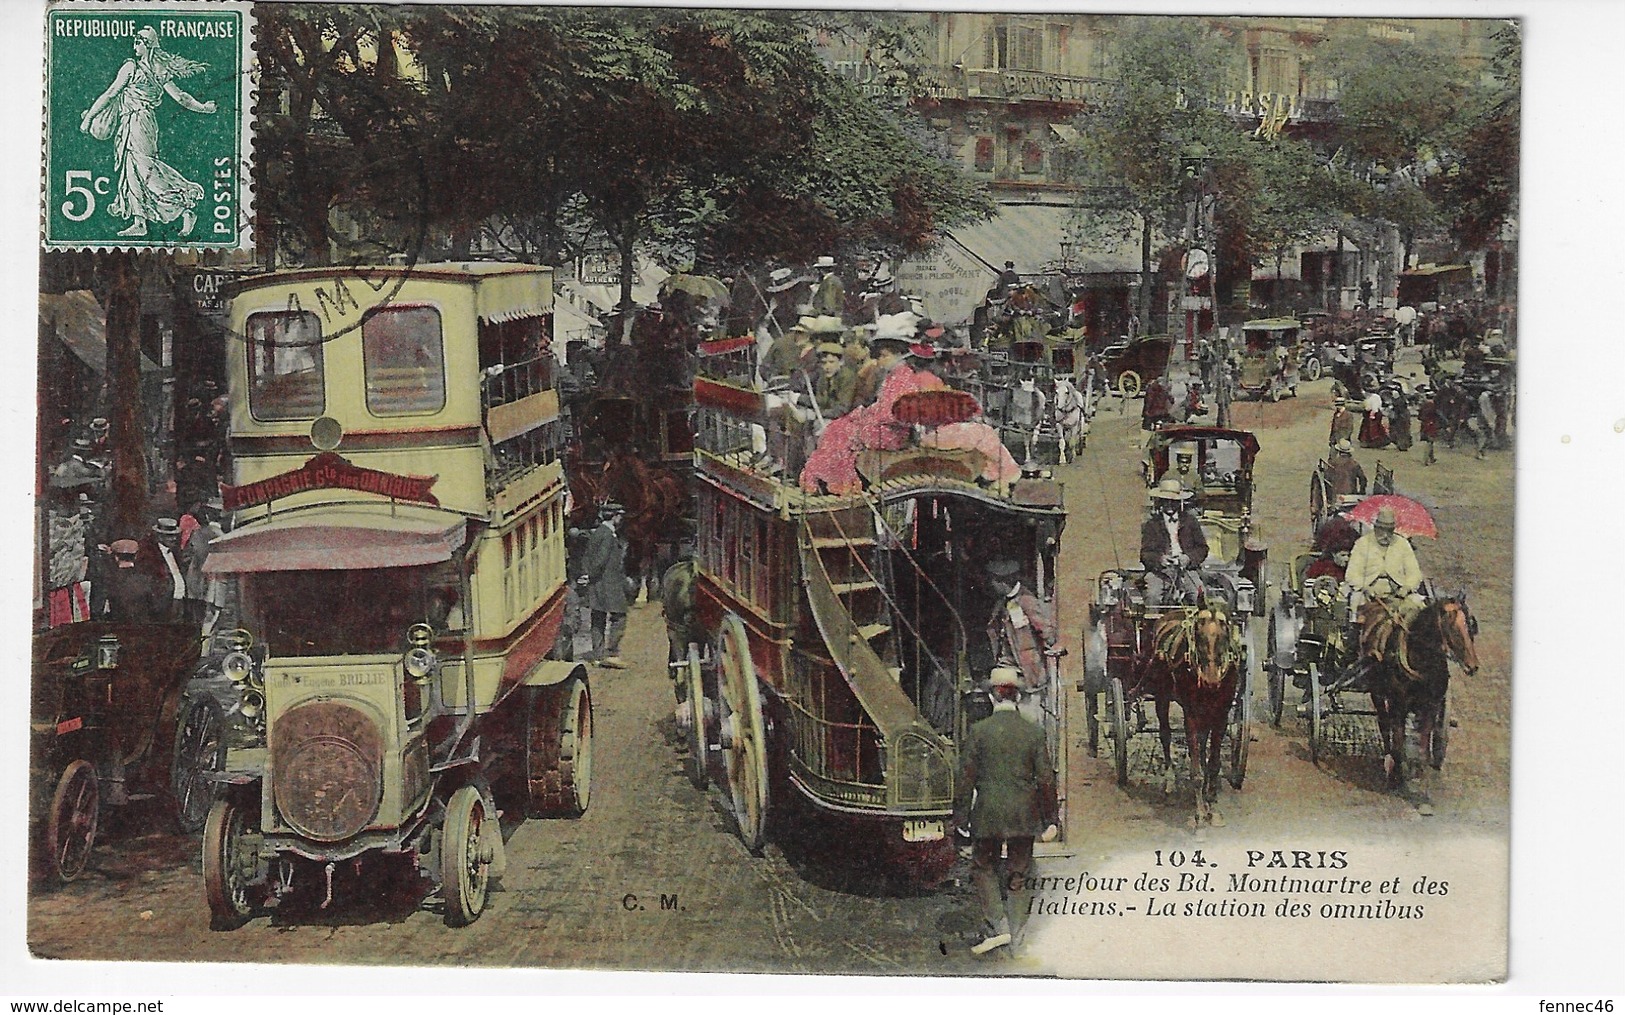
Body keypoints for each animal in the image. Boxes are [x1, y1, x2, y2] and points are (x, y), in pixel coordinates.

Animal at [1144, 604, 1241, 828]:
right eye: (1198, 633)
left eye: (1225, 632)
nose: (1210, 679)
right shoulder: (1191, 717)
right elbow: (1195, 771)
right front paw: (1199, 814)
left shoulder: (1221, 716)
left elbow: (1213, 764)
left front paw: (1211, 805)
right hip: (1162, 696)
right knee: (1165, 734)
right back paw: (1169, 780)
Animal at [1358, 597, 1475, 789]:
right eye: (1451, 626)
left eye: (1471, 625)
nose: (1473, 665)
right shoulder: (1398, 705)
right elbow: (1398, 741)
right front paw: (1396, 774)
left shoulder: (1431, 706)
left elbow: (1423, 743)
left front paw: (1420, 772)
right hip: (1377, 693)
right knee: (1384, 724)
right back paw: (1388, 759)